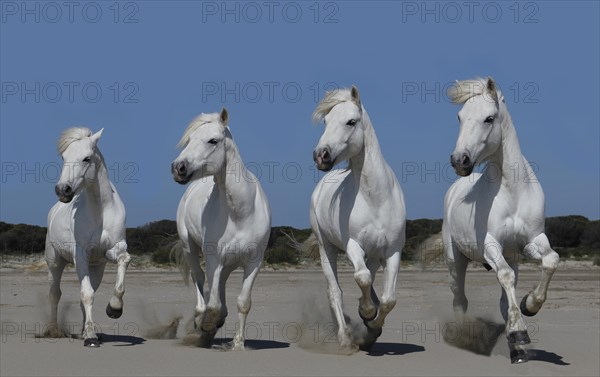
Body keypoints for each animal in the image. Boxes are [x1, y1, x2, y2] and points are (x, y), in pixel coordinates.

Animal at [45, 129, 132, 346]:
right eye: (63, 157)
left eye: (86, 158)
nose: (63, 190)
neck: (101, 211)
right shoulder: (81, 256)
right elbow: (87, 294)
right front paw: (91, 338)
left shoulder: (112, 250)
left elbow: (124, 261)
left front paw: (114, 309)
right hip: (54, 262)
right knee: (54, 294)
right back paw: (53, 330)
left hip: (96, 268)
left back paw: (83, 331)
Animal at [170, 107, 270, 348]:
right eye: (188, 140)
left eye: (213, 140)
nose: (178, 168)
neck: (240, 213)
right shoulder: (214, 258)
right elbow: (213, 303)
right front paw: (206, 325)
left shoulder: (254, 262)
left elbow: (243, 302)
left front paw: (238, 343)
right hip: (190, 249)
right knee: (199, 279)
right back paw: (200, 319)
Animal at [312, 85, 406, 350]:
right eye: (326, 122)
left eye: (351, 122)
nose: (321, 156)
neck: (376, 199)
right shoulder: (353, 245)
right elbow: (361, 278)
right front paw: (366, 313)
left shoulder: (392, 251)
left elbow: (388, 299)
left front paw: (373, 325)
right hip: (327, 249)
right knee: (335, 291)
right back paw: (344, 337)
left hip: (373, 255)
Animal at [442, 76, 560, 362]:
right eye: (459, 117)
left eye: (489, 118)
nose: (459, 160)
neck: (513, 192)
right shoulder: (491, 245)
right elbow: (504, 277)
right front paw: (519, 332)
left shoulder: (531, 242)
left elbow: (550, 261)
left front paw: (530, 305)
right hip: (455, 259)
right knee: (460, 299)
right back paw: (465, 339)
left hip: (513, 257)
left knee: (504, 299)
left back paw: (517, 351)